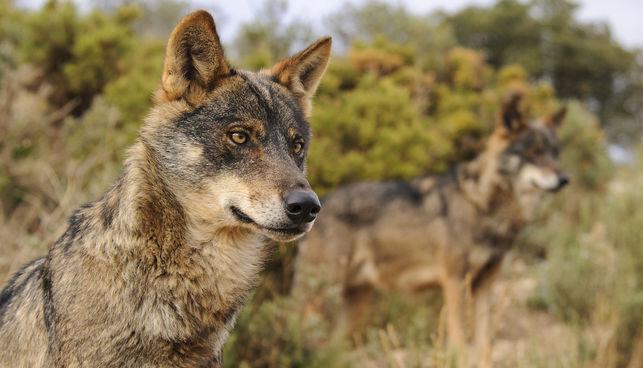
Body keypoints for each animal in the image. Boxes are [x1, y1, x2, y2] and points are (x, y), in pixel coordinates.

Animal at [292, 93, 568, 364]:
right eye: (534, 152)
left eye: (555, 153)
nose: (565, 179)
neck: (481, 203)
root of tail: (320, 204)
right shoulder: (455, 281)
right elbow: (459, 342)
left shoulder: (486, 284)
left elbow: (485, 346)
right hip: (321, 296)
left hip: (354, 303)